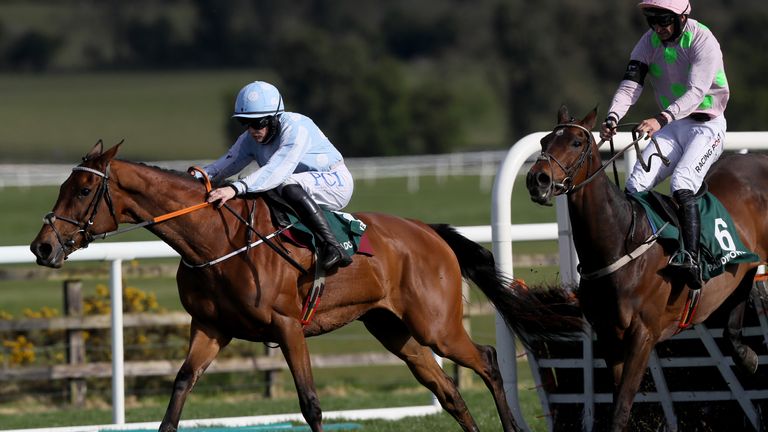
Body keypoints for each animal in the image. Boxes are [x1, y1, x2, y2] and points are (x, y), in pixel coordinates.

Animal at [33, 143, 580, 432]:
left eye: (84, 189)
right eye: (63, 186)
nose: (42, 247)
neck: (214, 239)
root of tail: (429, 231)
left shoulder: (287, 326)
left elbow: (311, 403)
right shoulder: (210, 327)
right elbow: (181, 388)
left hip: (436, 325)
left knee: (485, 360)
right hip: (395, 330)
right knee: (447, 390)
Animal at [524, 105, 764, 432]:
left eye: (576, 142)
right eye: (544, 141)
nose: (537, 179)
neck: (620, 242)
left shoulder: (642, 334)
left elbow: (621, 409)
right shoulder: (609, 335)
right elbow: (619, 403)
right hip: (743, 265)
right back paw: (744, 354)